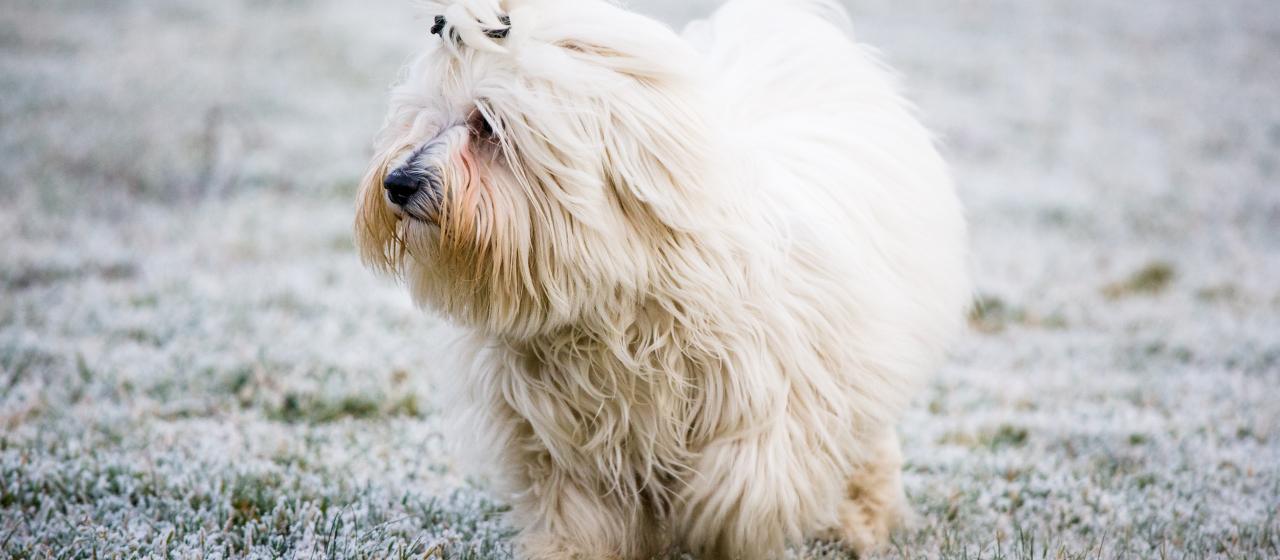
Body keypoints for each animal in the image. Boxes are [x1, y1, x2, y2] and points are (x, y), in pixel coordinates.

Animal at [355, 0, 962, 554]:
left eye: (487, 123)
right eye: (424, 117)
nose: (399, 182)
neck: (614, 296)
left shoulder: (768, 403)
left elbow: (738, 493)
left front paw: (710, 529)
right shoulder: (563, 438)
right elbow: (580, 517)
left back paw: (861, 522)